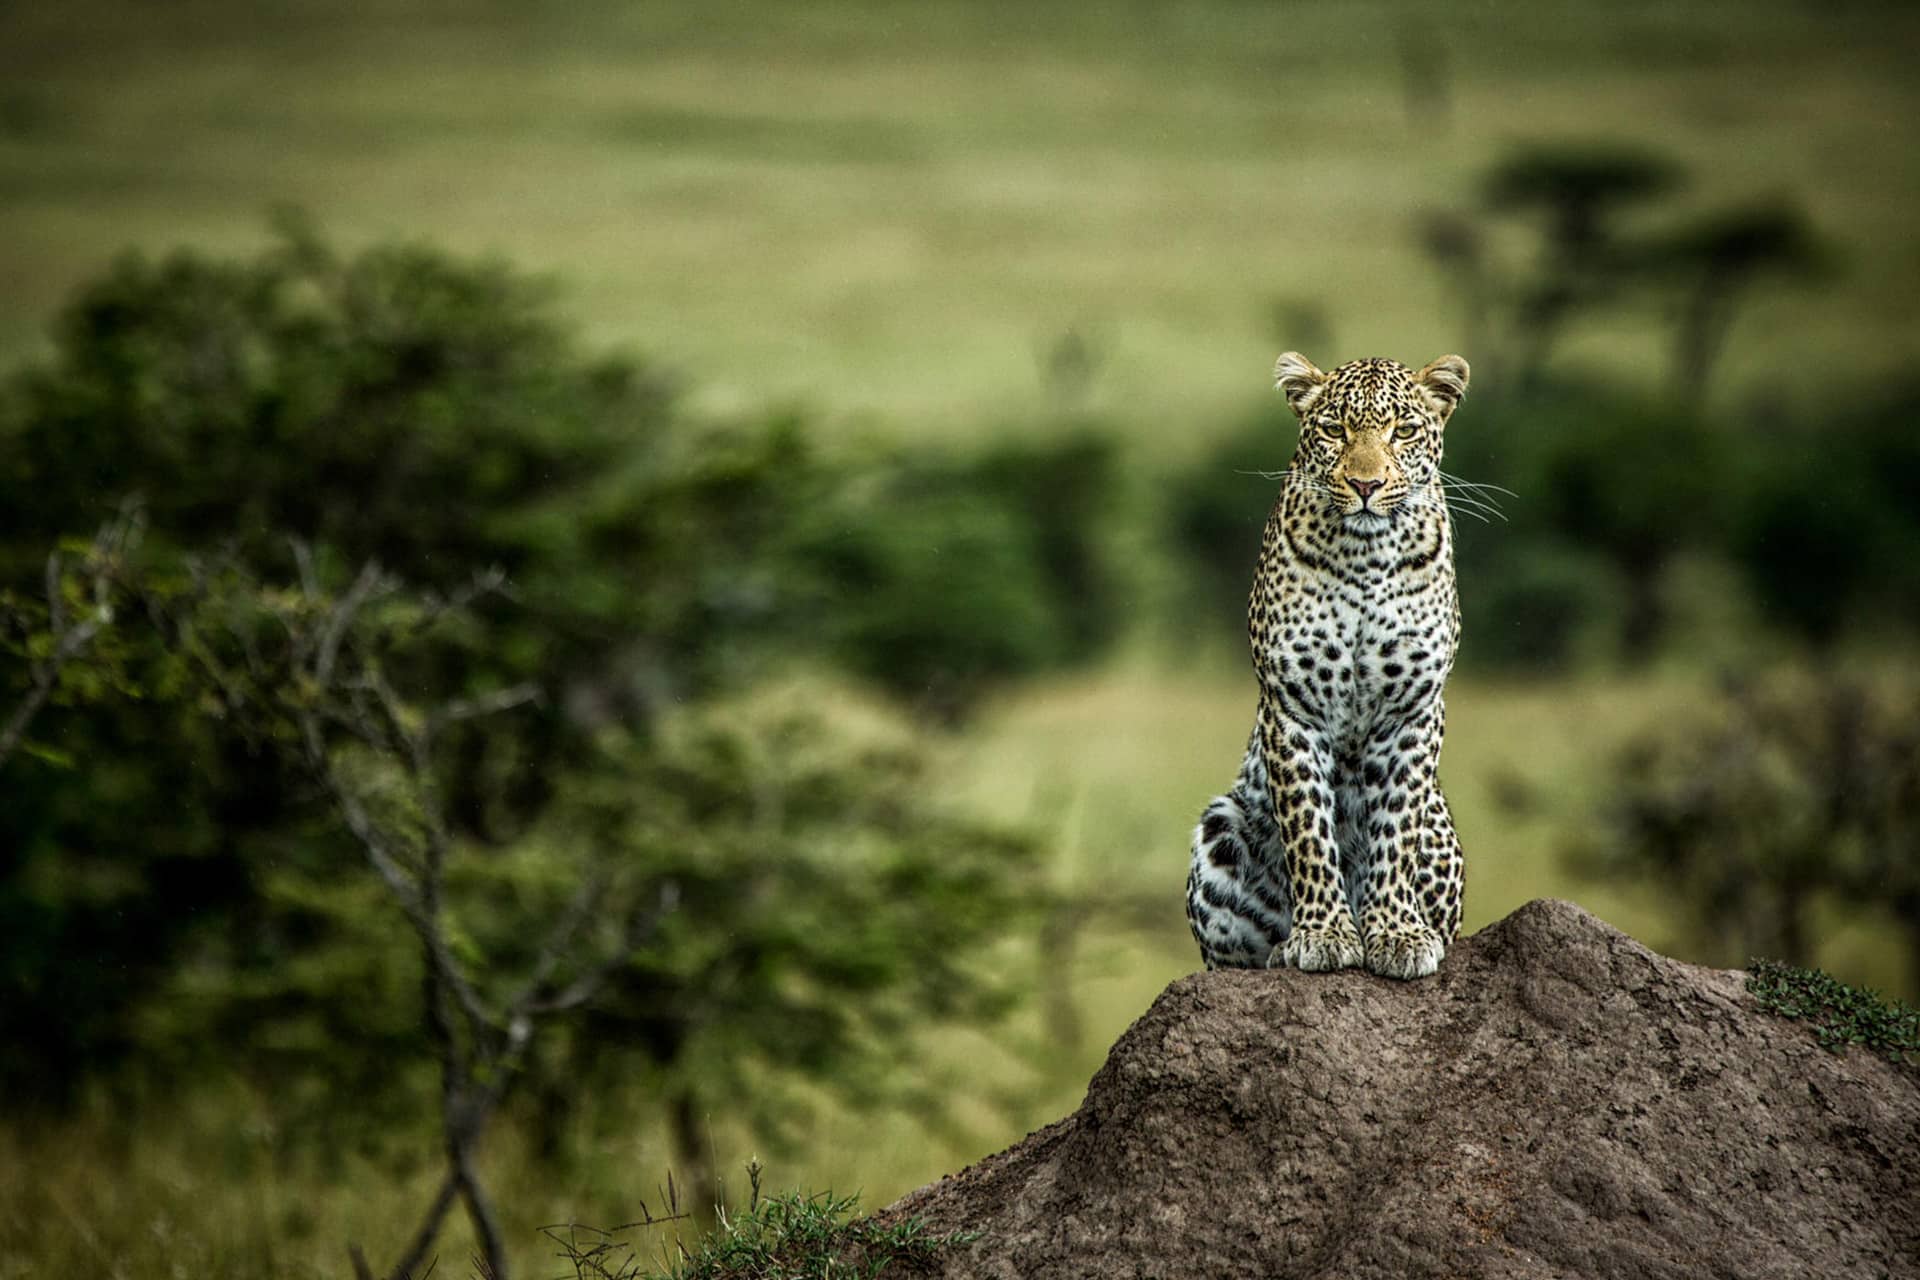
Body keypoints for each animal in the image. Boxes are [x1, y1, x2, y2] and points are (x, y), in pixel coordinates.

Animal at [1185, 351, 1471, 980]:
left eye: (1403, 431)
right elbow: (1308, 829)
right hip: (1221, 828)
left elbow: (1396, 826)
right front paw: (1323, 934)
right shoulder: (1293, 705)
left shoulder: (1414, 709)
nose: (1366, 484)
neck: (1366, 558)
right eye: (1335, 429)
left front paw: (1396, 934)